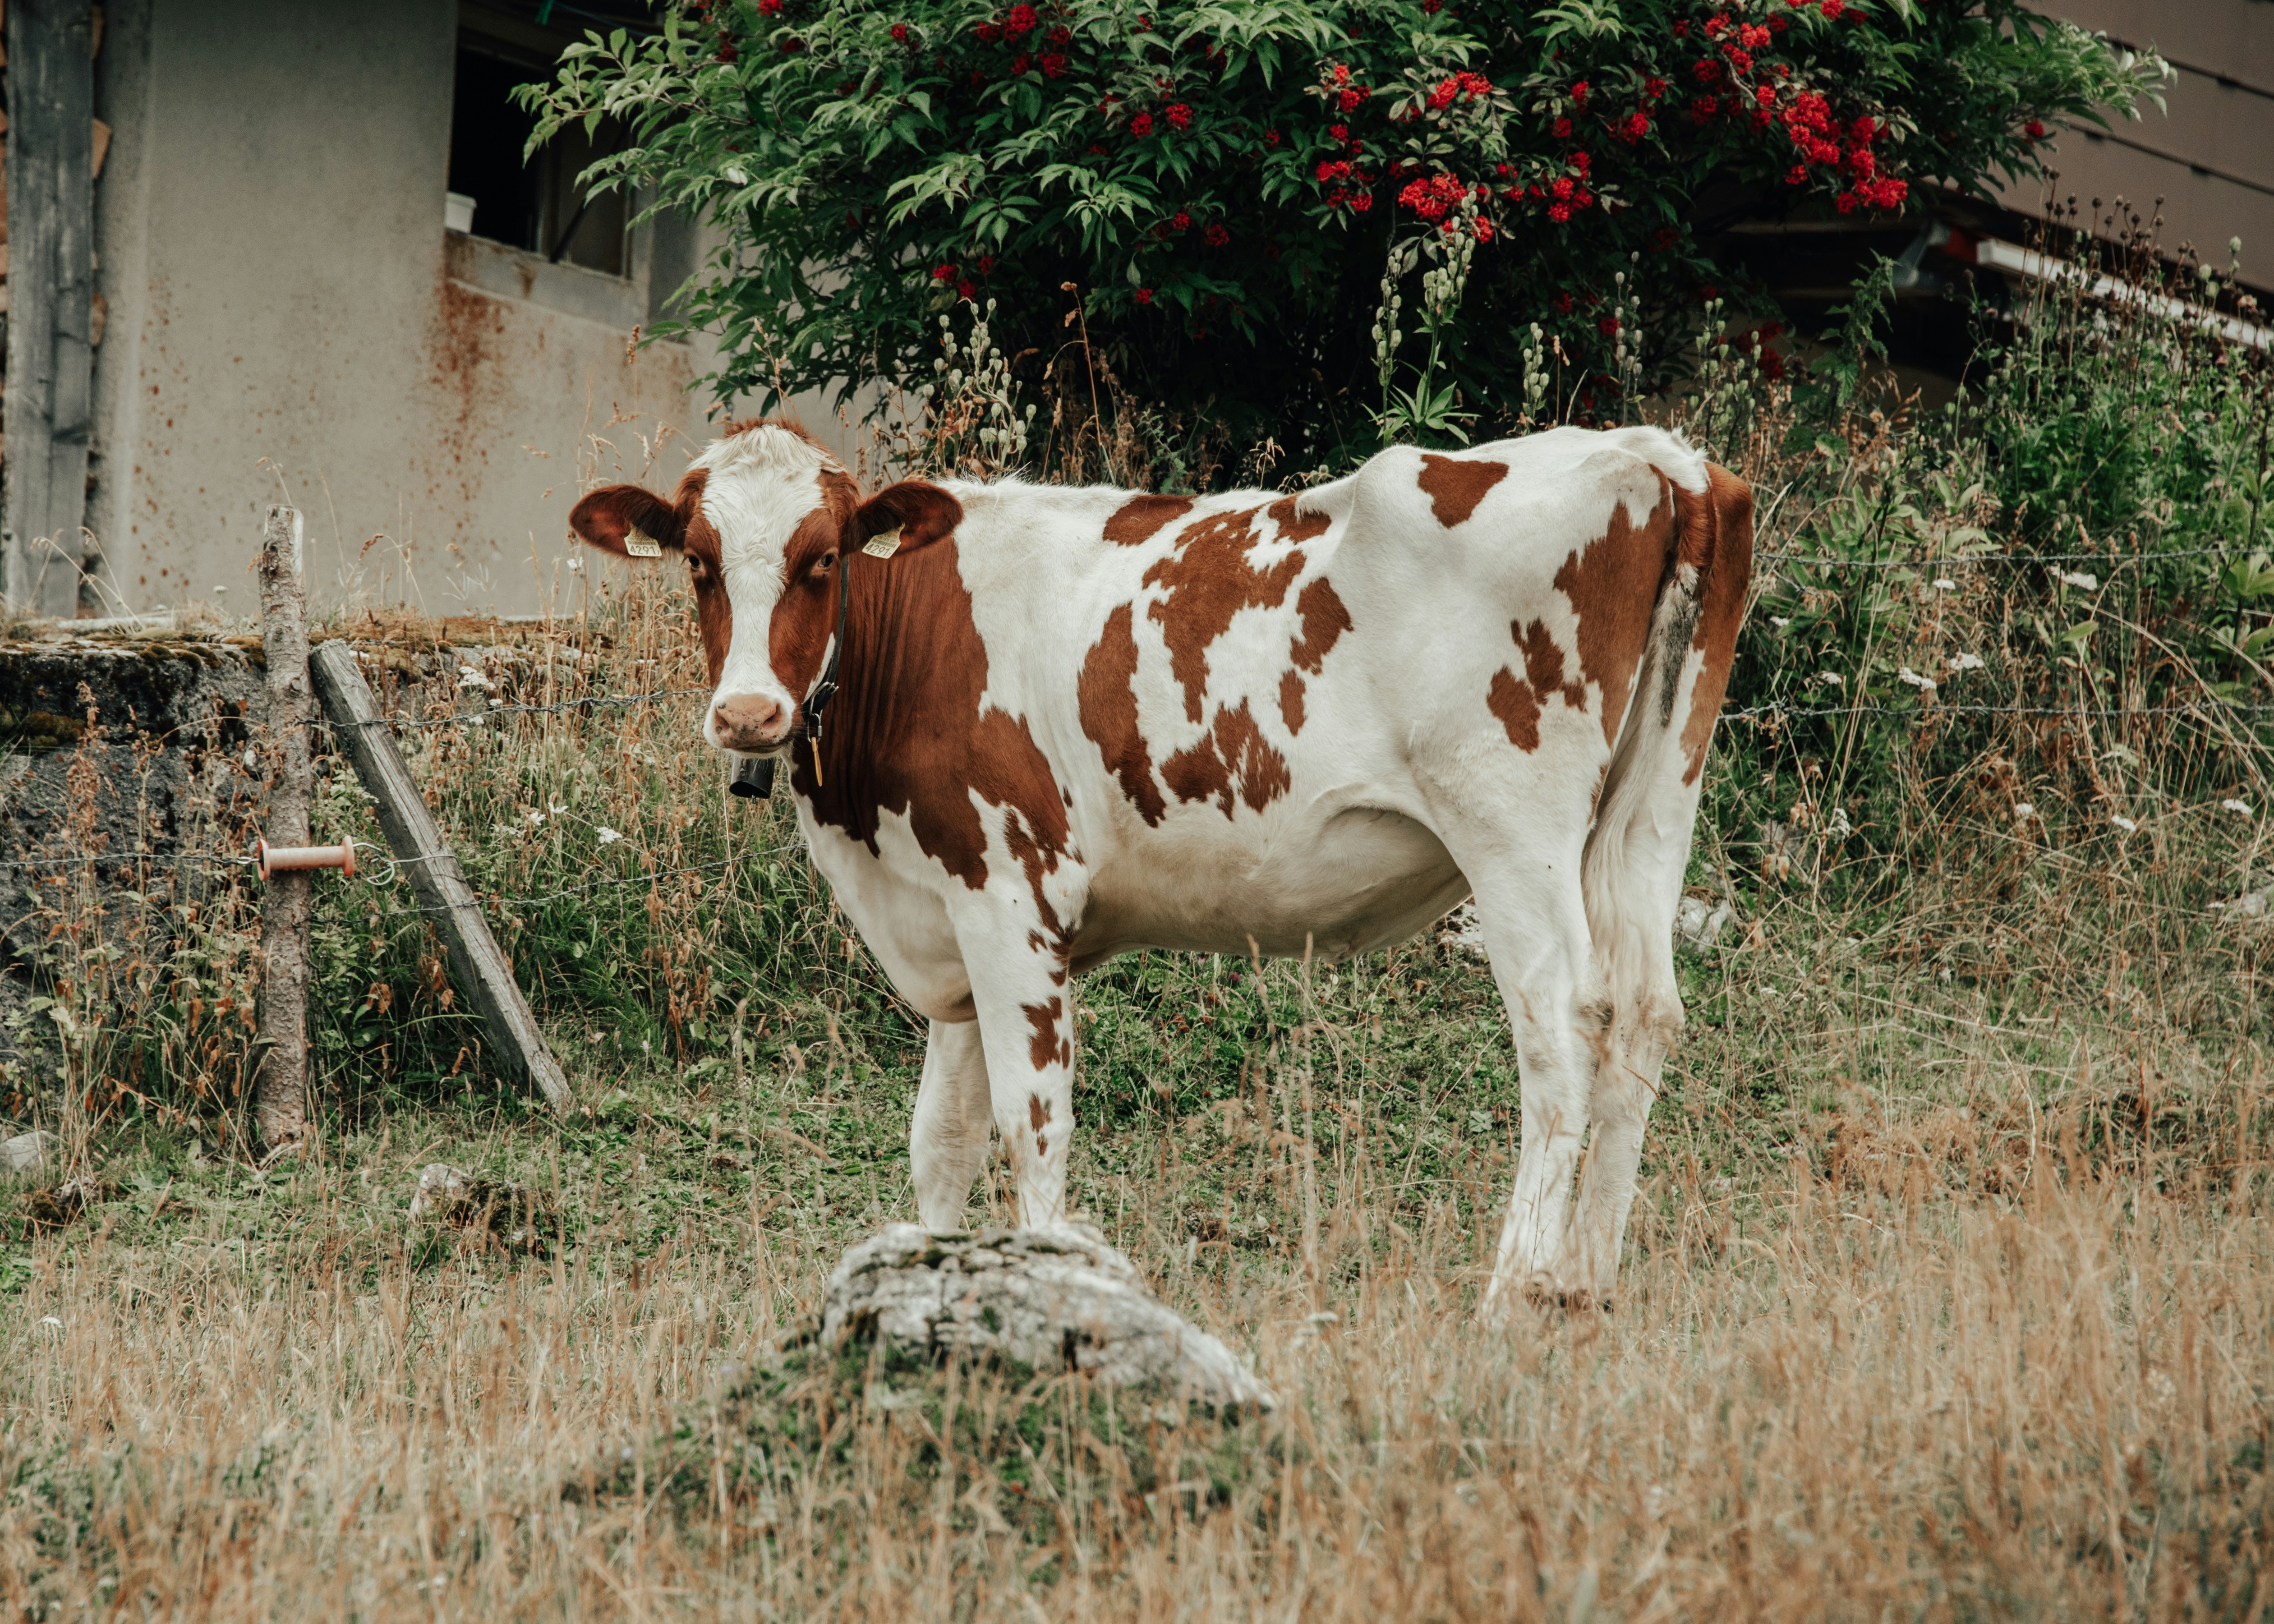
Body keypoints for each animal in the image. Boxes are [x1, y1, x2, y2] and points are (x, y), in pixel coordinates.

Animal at [568, 418, 1751, 1310]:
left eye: (822, 560)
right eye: (698, 563)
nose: (747, 714)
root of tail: (1660, 456)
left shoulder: (1011, 892)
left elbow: (1031, 1125)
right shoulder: (949, 907)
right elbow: (940, 1139)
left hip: (1512, 828)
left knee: (1563, 1033)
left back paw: (1515, 1291)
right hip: (1653, 807)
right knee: (1645, 1012)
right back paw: (1584, 1286)